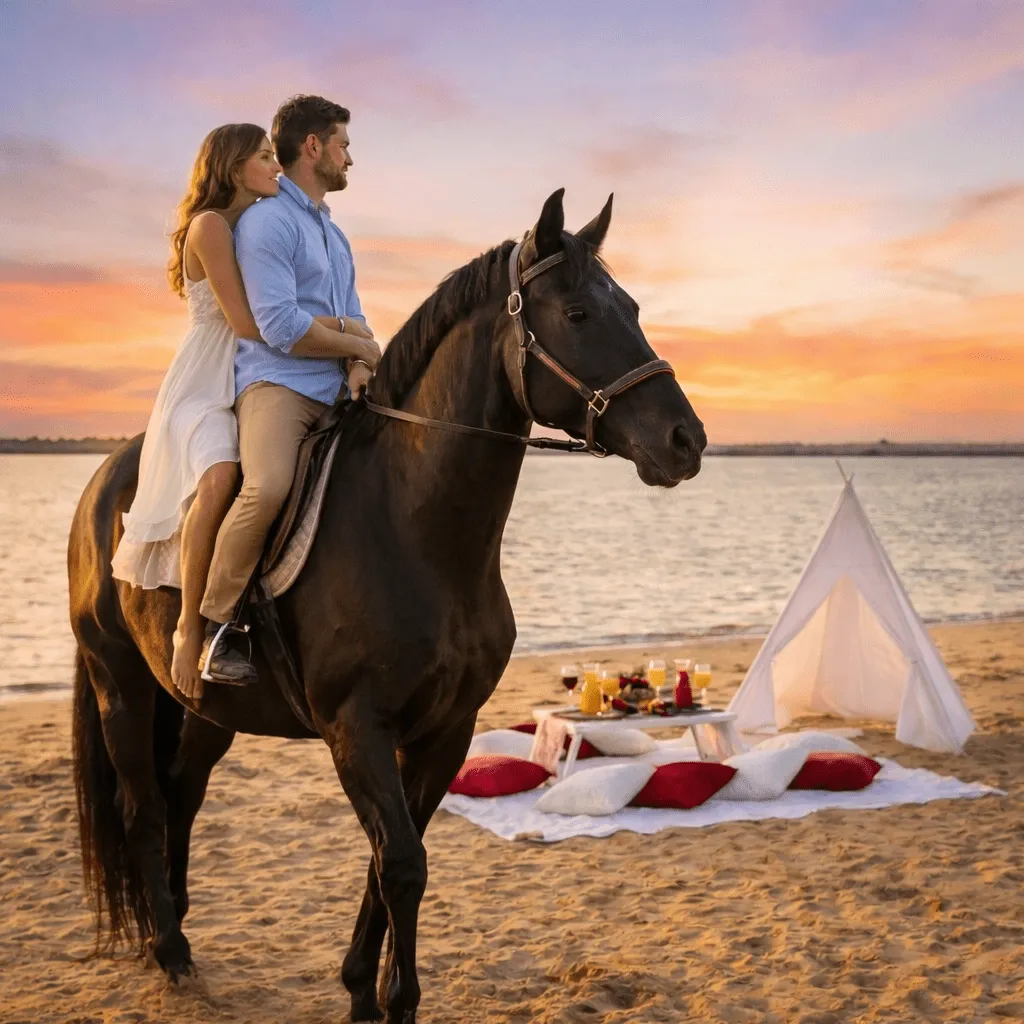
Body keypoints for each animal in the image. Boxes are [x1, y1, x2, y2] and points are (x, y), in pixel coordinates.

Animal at [68, 188, 706, 1023]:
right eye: (576, 313)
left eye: (629, 305)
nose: (686, 439)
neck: (413, 528)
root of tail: (103, 479)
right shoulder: (356, 729)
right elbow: (401, 862)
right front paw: (391, 1001)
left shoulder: (446, 730)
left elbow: (390, 859)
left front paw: (359, 990)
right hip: (120, 685)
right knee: (143, 806)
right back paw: (170, 951)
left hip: (204, 708)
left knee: (182, 794)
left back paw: (175, 926)